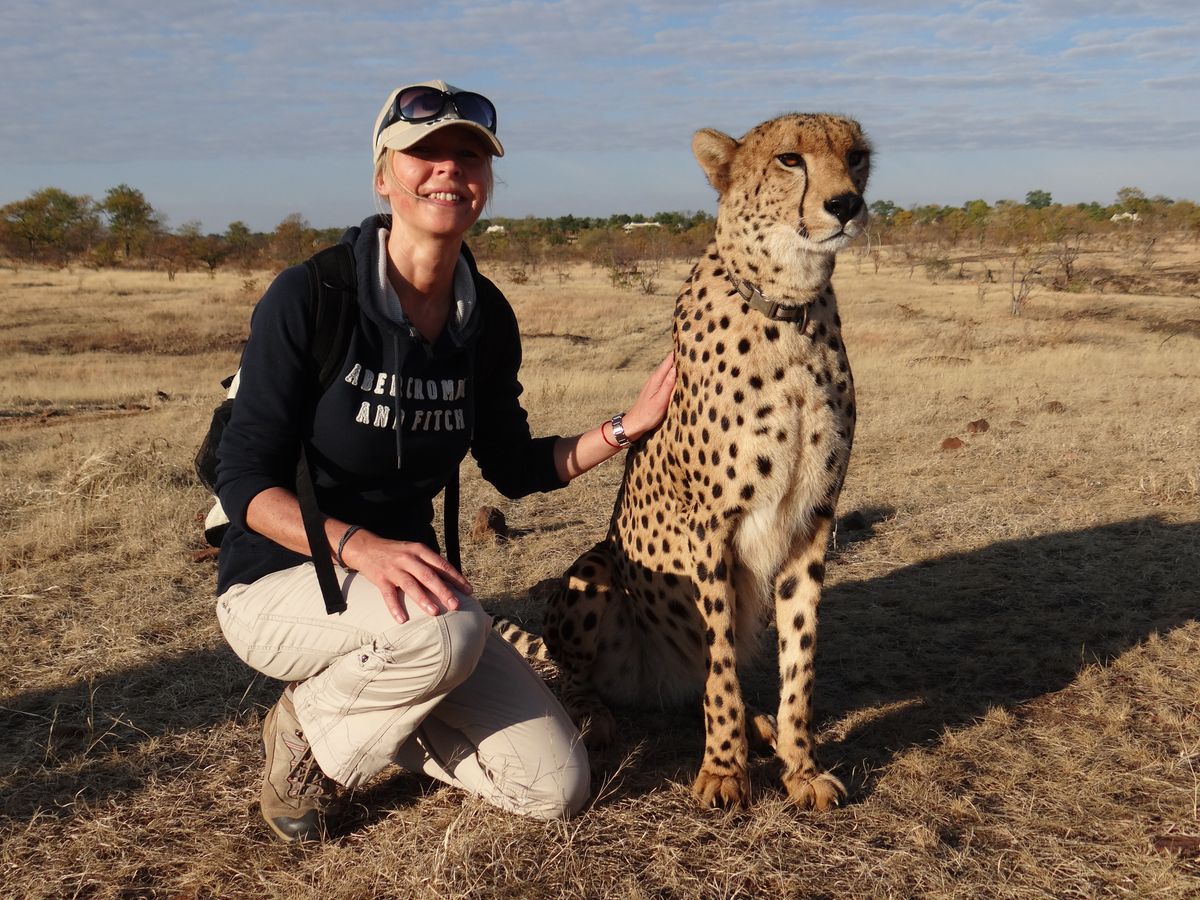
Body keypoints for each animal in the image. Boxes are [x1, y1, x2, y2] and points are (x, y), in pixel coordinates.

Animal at [498, 112, 871, 810]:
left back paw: (760, 726)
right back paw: (596, 717)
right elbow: (719, 658)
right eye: (790, 159)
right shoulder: (710, 524)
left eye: (857, 156)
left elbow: (800, 659)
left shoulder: (813, 521)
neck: (788, 307)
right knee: (578, 674)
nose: (846, 205)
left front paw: (800, 766)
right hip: (595, 570)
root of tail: (657, 692)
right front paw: (724, 769)